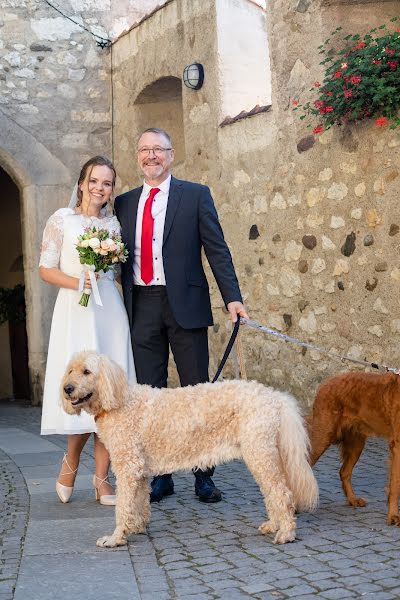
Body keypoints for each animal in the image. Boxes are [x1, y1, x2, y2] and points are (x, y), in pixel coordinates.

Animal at [61, 352, 318, 548]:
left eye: (87, 371)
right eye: (71, 370)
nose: (67, 388)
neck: (120, 399)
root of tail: (274, 397)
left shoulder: (127, 468)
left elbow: (123, 506)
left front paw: (115, 538)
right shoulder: (139, 471)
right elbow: (140, 502)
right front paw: (136, 527)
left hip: (260, 455)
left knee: (281, 493)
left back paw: (286, 533)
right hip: (264, 455)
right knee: (273, 493)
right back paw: (274, 525)